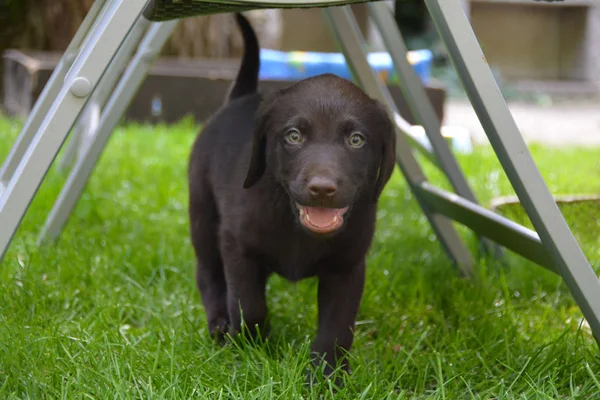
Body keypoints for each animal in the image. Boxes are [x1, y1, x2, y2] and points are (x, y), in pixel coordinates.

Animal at [185, 13, 396, 376]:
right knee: (209, 273)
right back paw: (219, 325)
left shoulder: (348, 265)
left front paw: (327, 376)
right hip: (203, 214)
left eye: (356, 140)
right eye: (294, 136)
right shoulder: (237, 246)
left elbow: (337, 327)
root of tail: (240, 98)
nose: (322, 188)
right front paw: (254, 348)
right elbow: (249, 303)